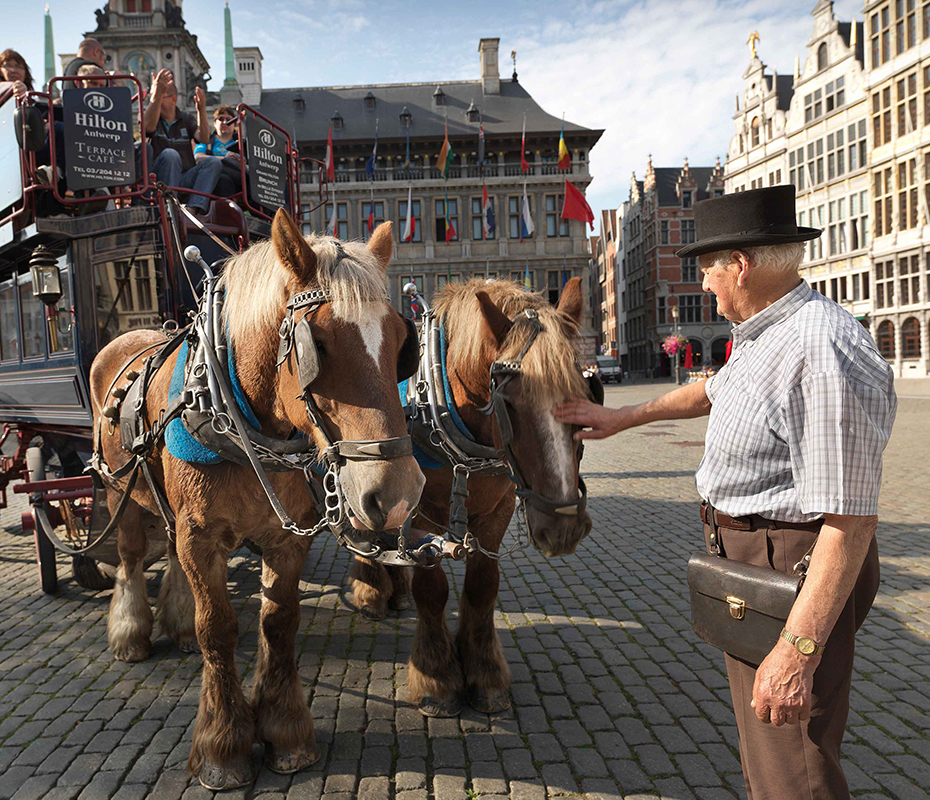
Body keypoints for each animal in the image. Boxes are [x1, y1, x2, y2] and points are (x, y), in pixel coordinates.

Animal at [89, 209, 422, 792]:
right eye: (319, 344)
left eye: (402, 339)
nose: (398, 493)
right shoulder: (203, 537)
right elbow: (219, 628)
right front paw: (223, 746)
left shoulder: (283, 539)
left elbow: (279, 621)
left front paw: (286, 732)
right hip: (118, 492)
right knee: (130, 556)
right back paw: (131, 633)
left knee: (168, 549)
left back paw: (176, 624)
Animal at [348, 278, 596, 716]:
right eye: (507, 402)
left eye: (586, 391)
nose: (563, 527)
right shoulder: (421, 513)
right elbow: (432, 590)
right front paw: (437, 677)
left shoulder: (498, 508)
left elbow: (483, 586)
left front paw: (485, 674)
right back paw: (372, 593)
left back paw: (396, 592)